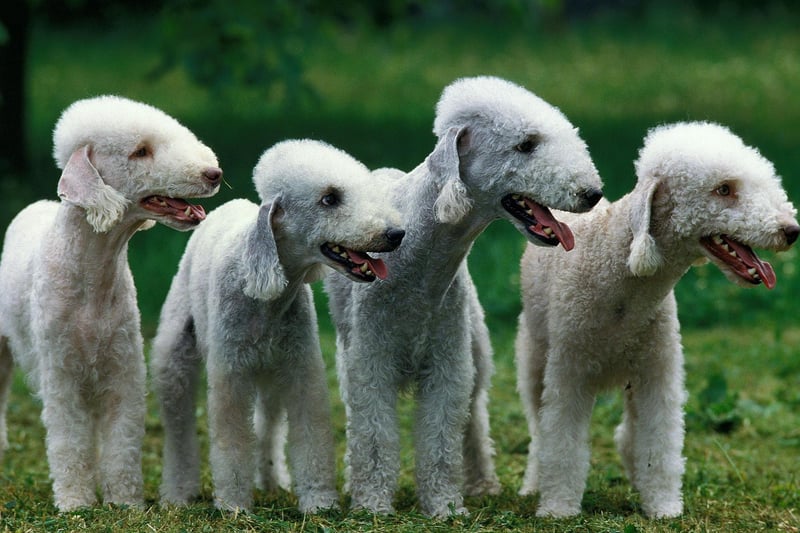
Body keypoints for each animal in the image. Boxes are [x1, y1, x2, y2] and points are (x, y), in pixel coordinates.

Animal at [0, 93, 222, 510]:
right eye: (140, 151)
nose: (213, 173)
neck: (92, 273)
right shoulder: (62, 374)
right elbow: (69, 440)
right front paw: (75, 502)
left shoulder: (123, 370)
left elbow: (122, 441)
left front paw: (125, 503)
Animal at [149, 139, 404, 512]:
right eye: (329, 199)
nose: (396, 234)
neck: (265, 294)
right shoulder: (231, 376)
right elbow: (232, 439)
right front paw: (234, 505)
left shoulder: (300, 369)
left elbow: (310, 433)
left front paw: (318, 502)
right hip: (175, 355)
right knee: (179, 428)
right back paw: (178, 492)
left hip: (271, 374)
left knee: (267, 425)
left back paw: (270, 481)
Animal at [322, 76, 604, 516]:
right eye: (525, 145)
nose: (592, 193)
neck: (419, 257)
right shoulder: (371, 362)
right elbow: (374, 436)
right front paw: (372, 505)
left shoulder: (447, 363)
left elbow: (442, 436)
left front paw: (445, 506)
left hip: (474, 343)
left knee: (472, 417)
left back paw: (482, 484)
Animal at [516, 120, 796, 516]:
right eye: (724, 189)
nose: (791, 230)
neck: (620, 273)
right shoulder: (569, 370)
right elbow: (561, 443)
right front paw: (557, 508)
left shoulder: (657, 370)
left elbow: (659, 442)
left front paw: (664, 506)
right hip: (534, 352)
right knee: (538, 430)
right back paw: (533, 485)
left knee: (627, 432)